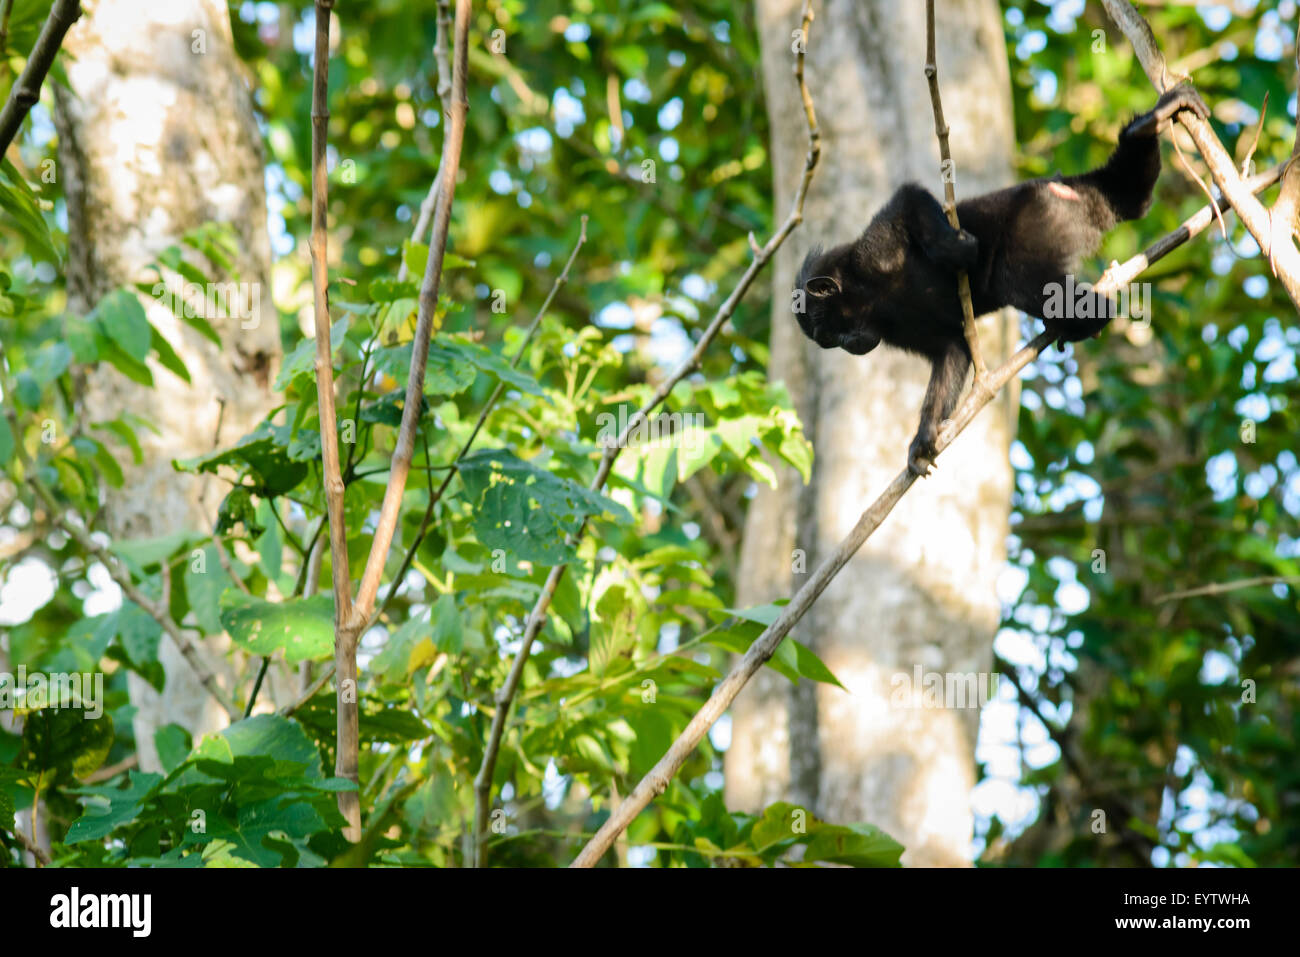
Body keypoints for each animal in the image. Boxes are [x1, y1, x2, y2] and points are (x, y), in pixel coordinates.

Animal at [790, 87, 1206, 475]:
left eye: (830, 332)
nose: (848, 346)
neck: (872, 297)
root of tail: (1058, 187)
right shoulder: (891, 328)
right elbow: (952, 347)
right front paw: (923, 438)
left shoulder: (872, 254)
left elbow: (908, 198)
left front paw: (951, 248)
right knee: (1131, 199)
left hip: (1035, 219)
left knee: (1017, 280)